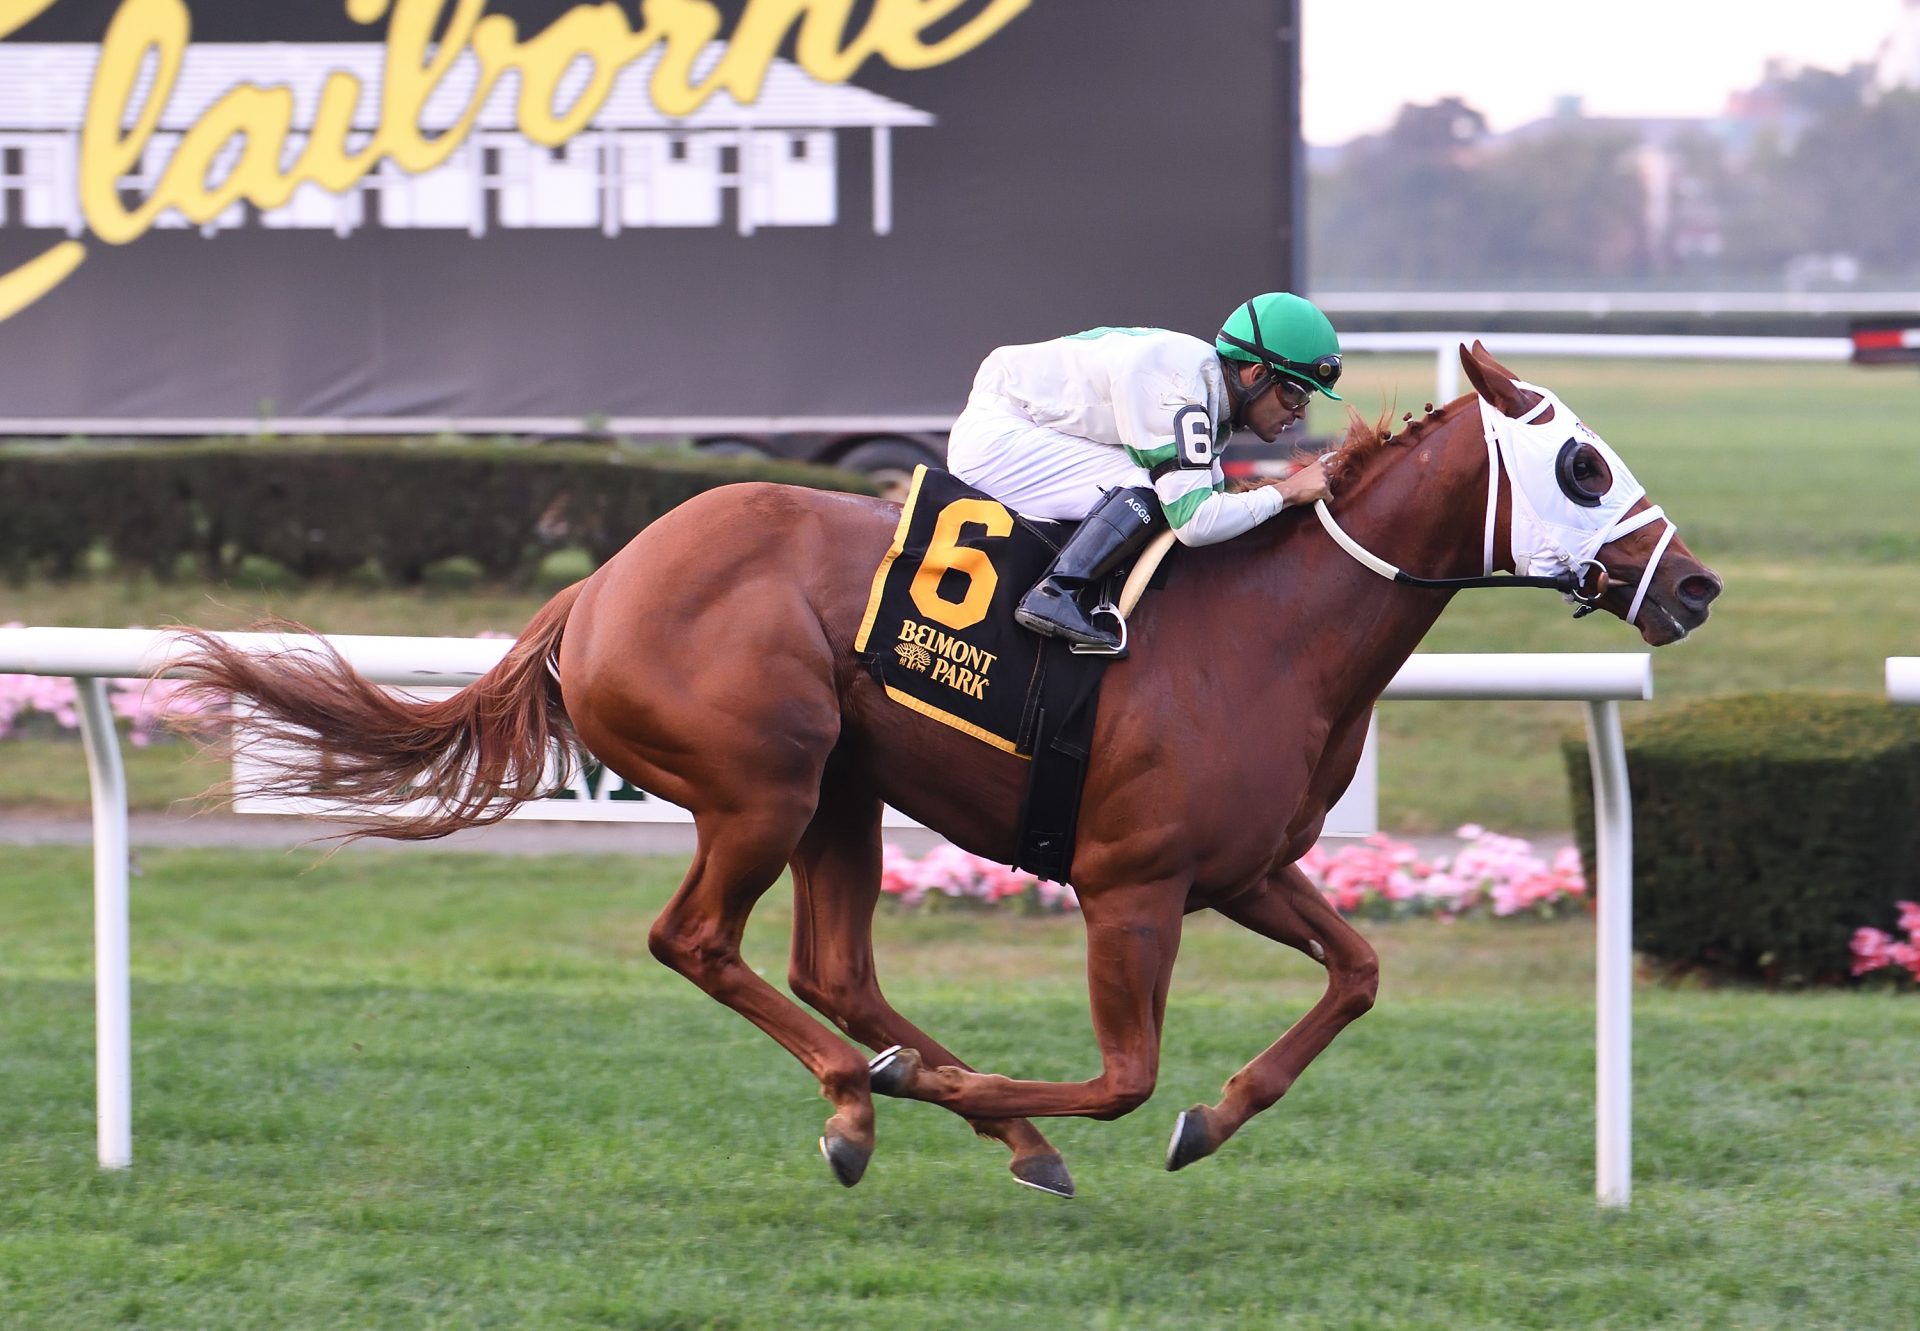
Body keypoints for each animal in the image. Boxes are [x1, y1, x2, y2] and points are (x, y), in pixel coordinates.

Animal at [176, 341, 1728, 1190]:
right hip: (765, 778)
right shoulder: (1130, 882)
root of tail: (599, 585)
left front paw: (1208, 1115)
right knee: (702, 940)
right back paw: (875, 1099)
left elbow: (1356, 974)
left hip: (844, 789)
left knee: (835, 967)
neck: (1271, 629)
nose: (1698, 585)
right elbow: (1121, 1073)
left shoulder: (1243, 866)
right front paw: (997, 1100)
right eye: (1583, 465)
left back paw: (923, 1094)